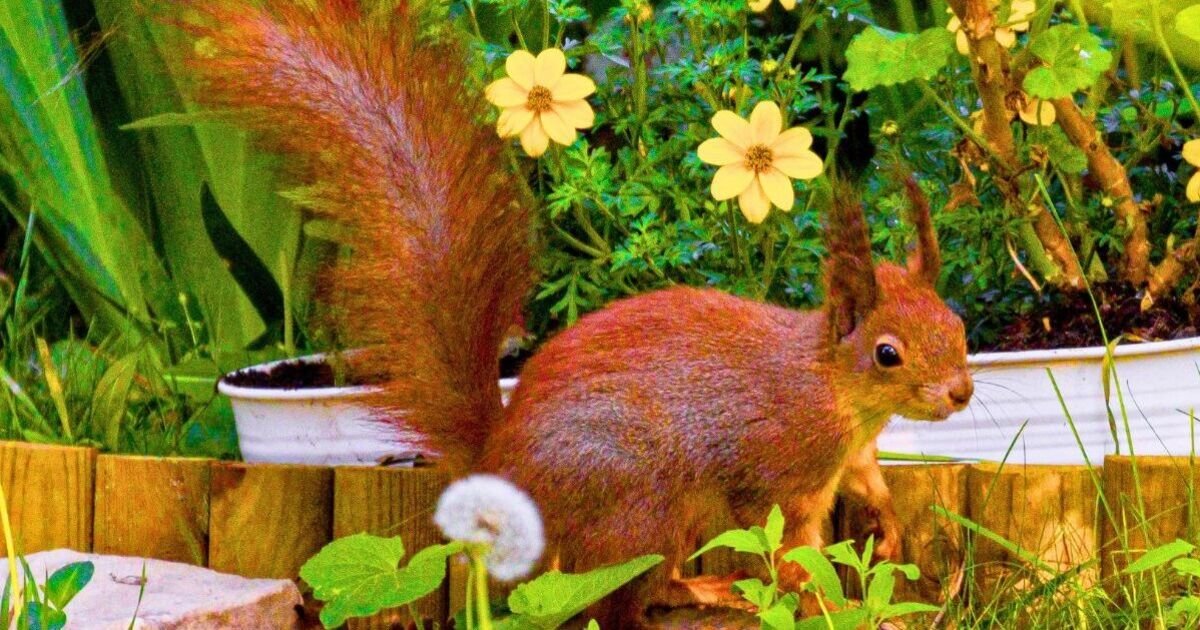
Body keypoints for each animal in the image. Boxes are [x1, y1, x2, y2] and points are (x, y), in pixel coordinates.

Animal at [183, 1, 973, 626]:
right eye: (888, 353)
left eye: (959, 326)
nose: (962, 393)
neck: (834, 388)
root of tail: (502, 465)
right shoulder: (778, 468)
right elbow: (788, 550)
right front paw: (840, 606)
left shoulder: (855, 453)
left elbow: (870, 484)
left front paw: (890, 530)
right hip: (639, 505)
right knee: (624, 596)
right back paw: (701, 591)